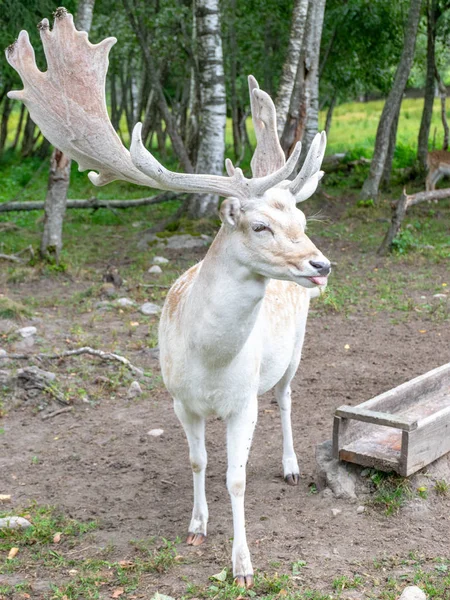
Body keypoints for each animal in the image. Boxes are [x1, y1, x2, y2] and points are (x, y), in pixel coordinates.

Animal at [6, 10, 330, 592]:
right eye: (261, 225)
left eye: (301, 220)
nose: (321, 265)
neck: (210, 364)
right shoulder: (180, 400)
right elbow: (199, 463)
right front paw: (197, 526)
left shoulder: (242, 402)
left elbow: (236, 478)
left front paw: (242, 565)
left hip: (294, 352)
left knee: (287, 397)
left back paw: (292, 465)